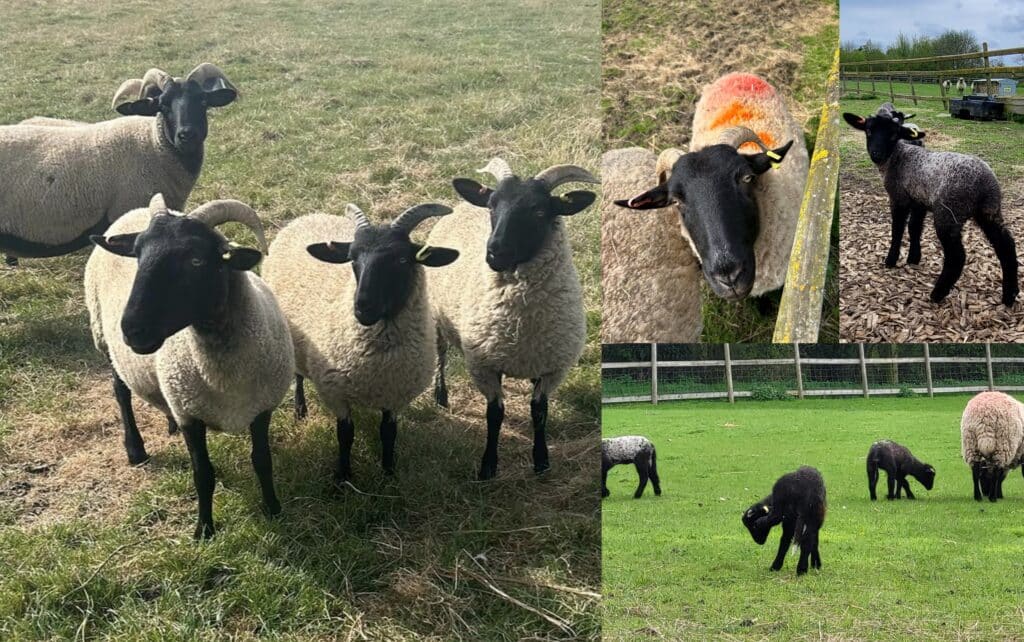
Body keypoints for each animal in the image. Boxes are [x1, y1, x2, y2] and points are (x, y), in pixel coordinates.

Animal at [84, 194, 294, 539]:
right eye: (137, 255)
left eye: (196, 261)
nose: (132, 330)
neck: (224, 375)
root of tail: (132, 211)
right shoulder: (189, 415)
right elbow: (203, 474)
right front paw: (204, 529)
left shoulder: (262, 407)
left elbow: (262, 461)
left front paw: (274, 509)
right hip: (104, 338)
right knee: (121, 391)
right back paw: (136, 450)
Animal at [262, 203, 459, 483]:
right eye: (353, 258)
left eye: (402, 260)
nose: (363, 307)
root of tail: (307, 216)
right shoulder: (337, 393)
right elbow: (345, 436)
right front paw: (343, 478)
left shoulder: (394, 393)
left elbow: (388, 434)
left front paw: (388, 474)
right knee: (298, 375)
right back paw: (300, 410)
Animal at [426, 157, 598, 480]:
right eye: (493, 206)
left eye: (540, 211)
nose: (495, 253)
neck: (521, 323)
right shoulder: (485, 365)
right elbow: (495, 415)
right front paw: (488, 465)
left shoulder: (552, 367)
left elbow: (539, 412)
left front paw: (541, 461)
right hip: (437, 314)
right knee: (440, 352)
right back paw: (440, 395)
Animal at [843, 106, 1017, 307]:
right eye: (869, 130)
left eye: (893, 134)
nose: (876, 154)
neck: (897, 156)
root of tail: (985, 182)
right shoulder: (920, 201)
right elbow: (914, 228)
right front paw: (913, 258)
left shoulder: (899, 198)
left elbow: (897, 230)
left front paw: (891, 260)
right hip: (989, 210)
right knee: (1006, 245)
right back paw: (1010, 295)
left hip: (949, 212)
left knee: (957, 256)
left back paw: (937, 293)